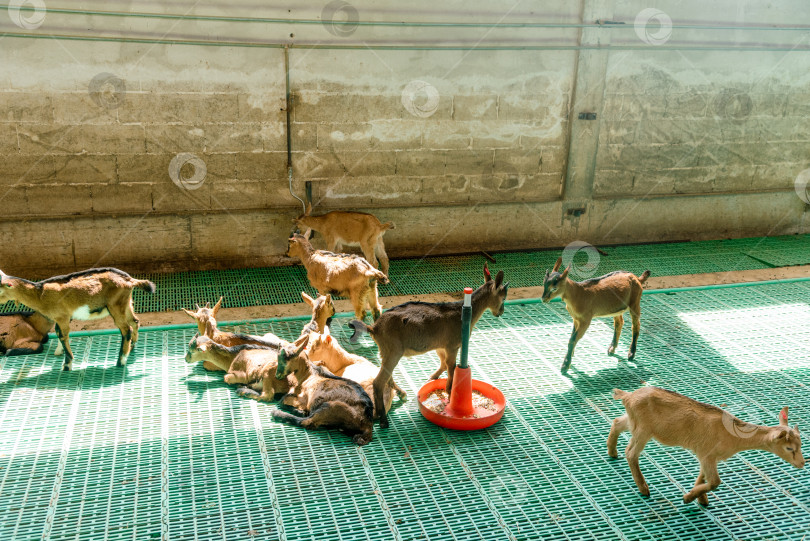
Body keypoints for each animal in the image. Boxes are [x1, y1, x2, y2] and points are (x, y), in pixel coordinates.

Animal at [0, 268, 155, 370]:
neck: (40, 294)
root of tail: (130, 280)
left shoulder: (62, 317)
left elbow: (63, 335)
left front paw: (67, 365)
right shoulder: (63, 318)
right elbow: (58, 333)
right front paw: (60, 354)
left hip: (115, 306)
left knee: (126, 329)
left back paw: (121, 361)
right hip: (126, 303)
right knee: (135, 321)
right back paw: (132, 347)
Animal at [348, 264, 508, 428]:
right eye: (503, 297)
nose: (500, 312)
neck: (461, 312)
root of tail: (374, 328)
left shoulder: (441, 346)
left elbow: (444, 364)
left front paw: (432, 379)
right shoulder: (453, 345)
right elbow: (451, 367)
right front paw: (450, 392)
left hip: (385, 351)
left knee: (388, 378)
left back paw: (401, 394)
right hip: (393, 351)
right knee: (379, 382)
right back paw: (383, 420)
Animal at [608, 387, 805, 505]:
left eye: (800, 444)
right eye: (789, 448)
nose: (802, 463)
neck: (733, 435)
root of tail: (628, 396)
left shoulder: (708, 455)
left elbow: (703, 477)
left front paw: (700, 498)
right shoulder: (707, 454)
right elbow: (716, 482)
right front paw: (688, 498)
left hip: (634, 422)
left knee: (617, 422)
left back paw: (611, 451)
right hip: (643, 430)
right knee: (631, 453)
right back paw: (643, 488)